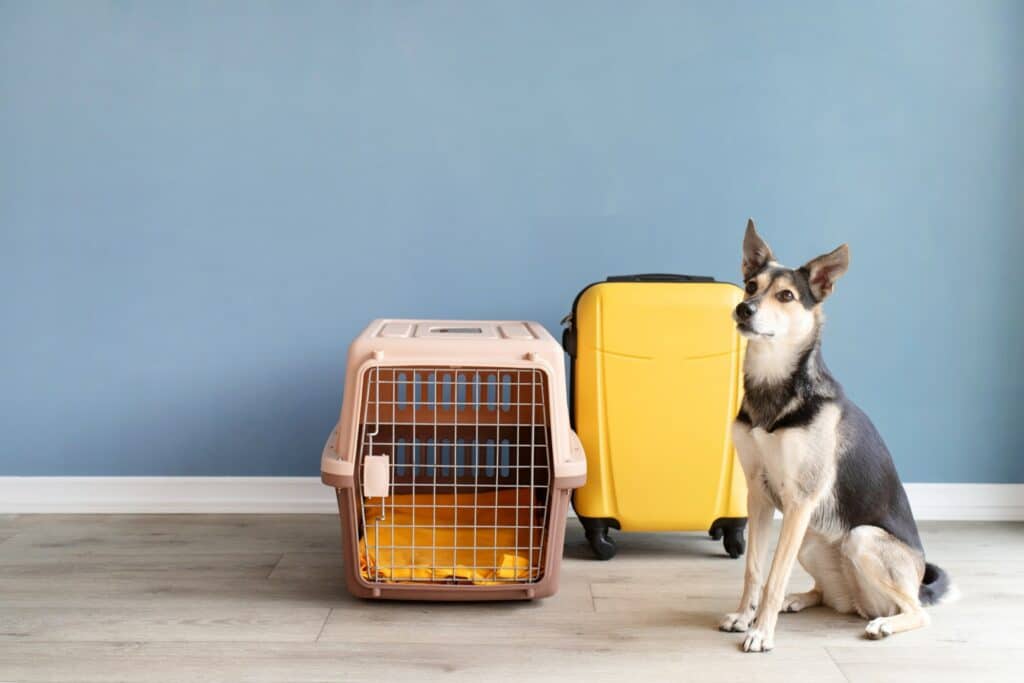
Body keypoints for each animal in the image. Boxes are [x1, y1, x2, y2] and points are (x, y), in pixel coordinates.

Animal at [720, 220, 950, 651]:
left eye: (787, 295)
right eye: (750, 286)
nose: (744, 309)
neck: (774, 389)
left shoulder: (799, 500)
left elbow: (774, 575)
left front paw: (761, 631)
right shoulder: (758, 494)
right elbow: (754, 570)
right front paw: (745, 616)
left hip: (860, 538)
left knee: (917, 611)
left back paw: (885, 623)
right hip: (813, 542)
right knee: (831, 596)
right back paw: (801, 599)